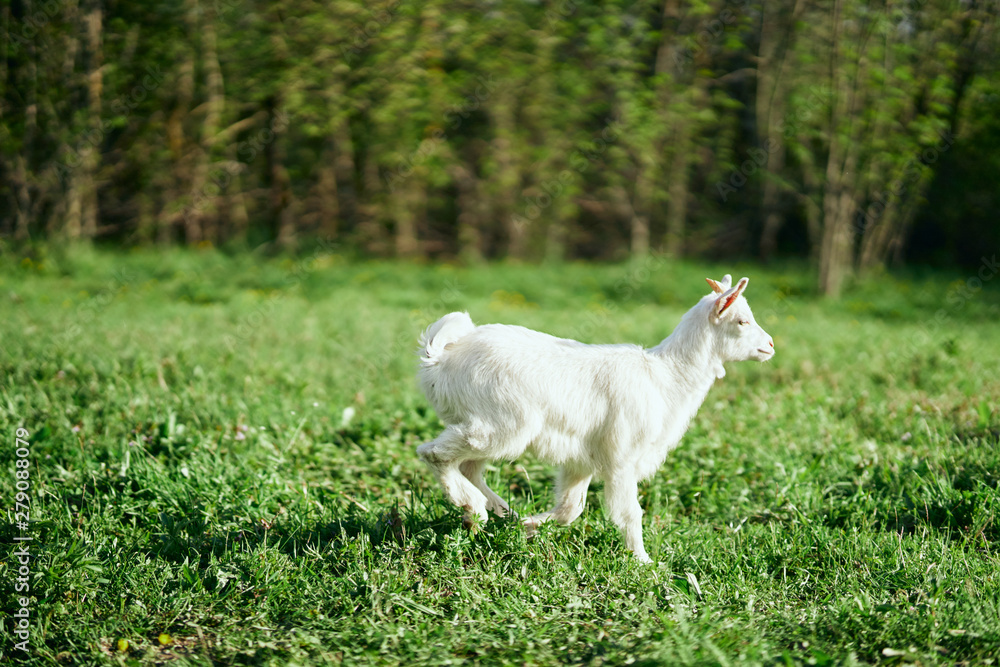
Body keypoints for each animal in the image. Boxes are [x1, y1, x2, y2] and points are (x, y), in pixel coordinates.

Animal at [415, 274, 773, 562]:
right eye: (742, 321)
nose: (770, 345)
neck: (666, 377)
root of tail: (440, 358)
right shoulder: (622, 457)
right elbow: (630, 513)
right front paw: (642, 561)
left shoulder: (582, 458)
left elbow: (569, 509)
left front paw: (529, 527)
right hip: (503, 426)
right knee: (433, 453)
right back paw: (472, 506)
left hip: (489, 427)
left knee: (468, 466)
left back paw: (497, 512)